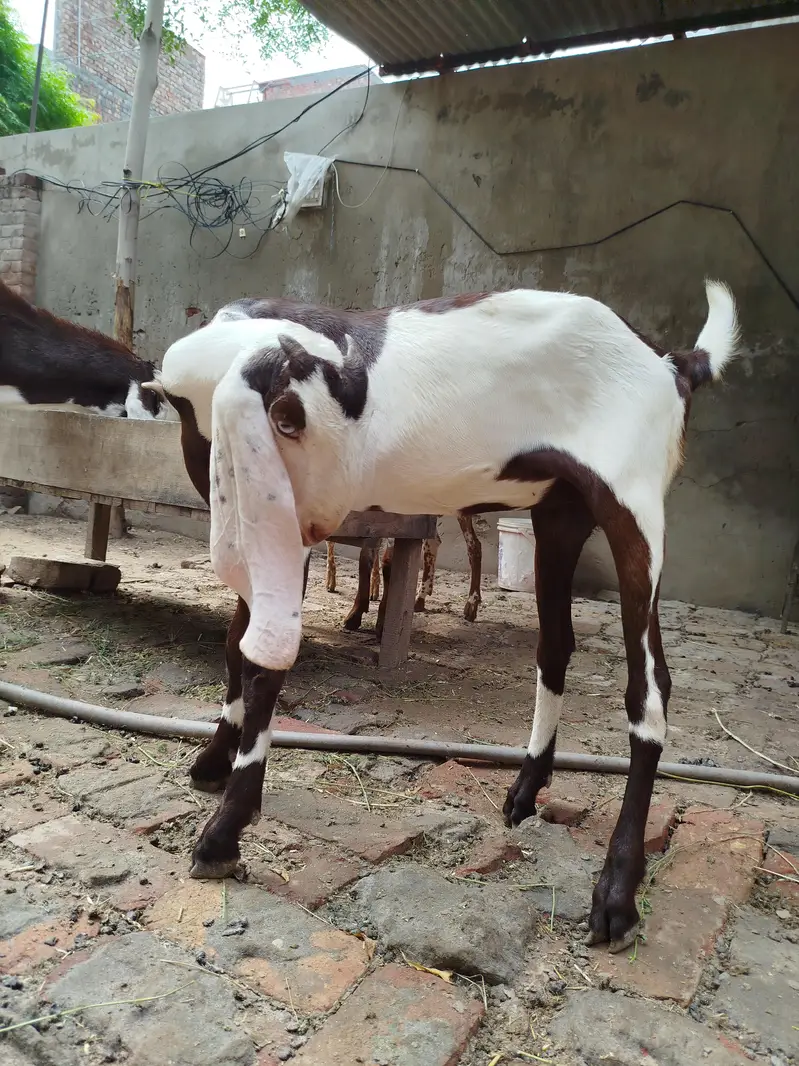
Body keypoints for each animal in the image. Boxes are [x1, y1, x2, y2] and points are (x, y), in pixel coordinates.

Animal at [327, 512, 483, 635]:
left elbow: (388, 564)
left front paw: (384, 623)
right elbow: (365, 560)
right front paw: (354, 616)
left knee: (474, 546)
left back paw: (471, 603)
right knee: (433, 543)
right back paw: (420, 598)